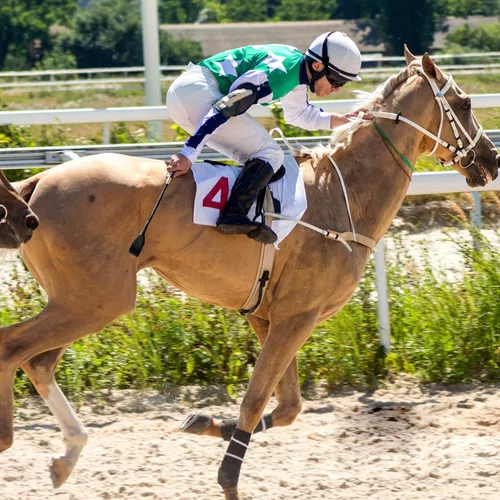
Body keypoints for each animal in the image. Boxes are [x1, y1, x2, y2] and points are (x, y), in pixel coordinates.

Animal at [0, 47, 498, 500]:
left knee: (39, 362)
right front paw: (228, 478)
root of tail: (32, 187)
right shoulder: (295, 317)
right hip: (98, 299)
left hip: (80, 300)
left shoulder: (272, 317)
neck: (341, 197)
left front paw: (204, 422)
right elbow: (256, 400)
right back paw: (14, 440)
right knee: (14, 349)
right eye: (467, 103)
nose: (491, 160)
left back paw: (67, 455)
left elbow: (288, 405)